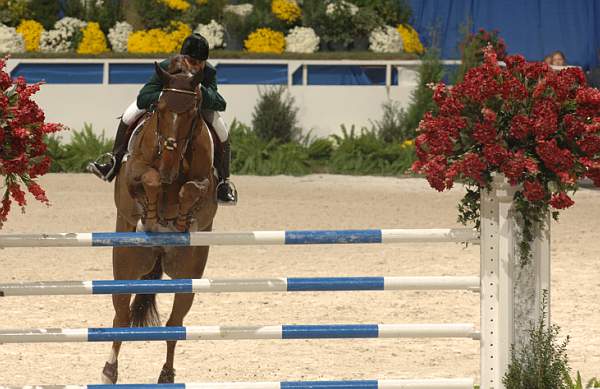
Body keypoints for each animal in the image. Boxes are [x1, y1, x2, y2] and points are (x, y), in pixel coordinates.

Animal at [102, 56, 218, 384]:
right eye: (161, 107)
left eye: (191, 112)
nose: (168, 167)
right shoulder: (134, 173)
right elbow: (149, 179)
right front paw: (152, 212)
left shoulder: (206, 184)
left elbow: (191, 189)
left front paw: (179, 219)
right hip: (126, 264)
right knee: (121, 317)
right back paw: (109, 370)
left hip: (186, 274)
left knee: (174, 324)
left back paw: (166, 375)